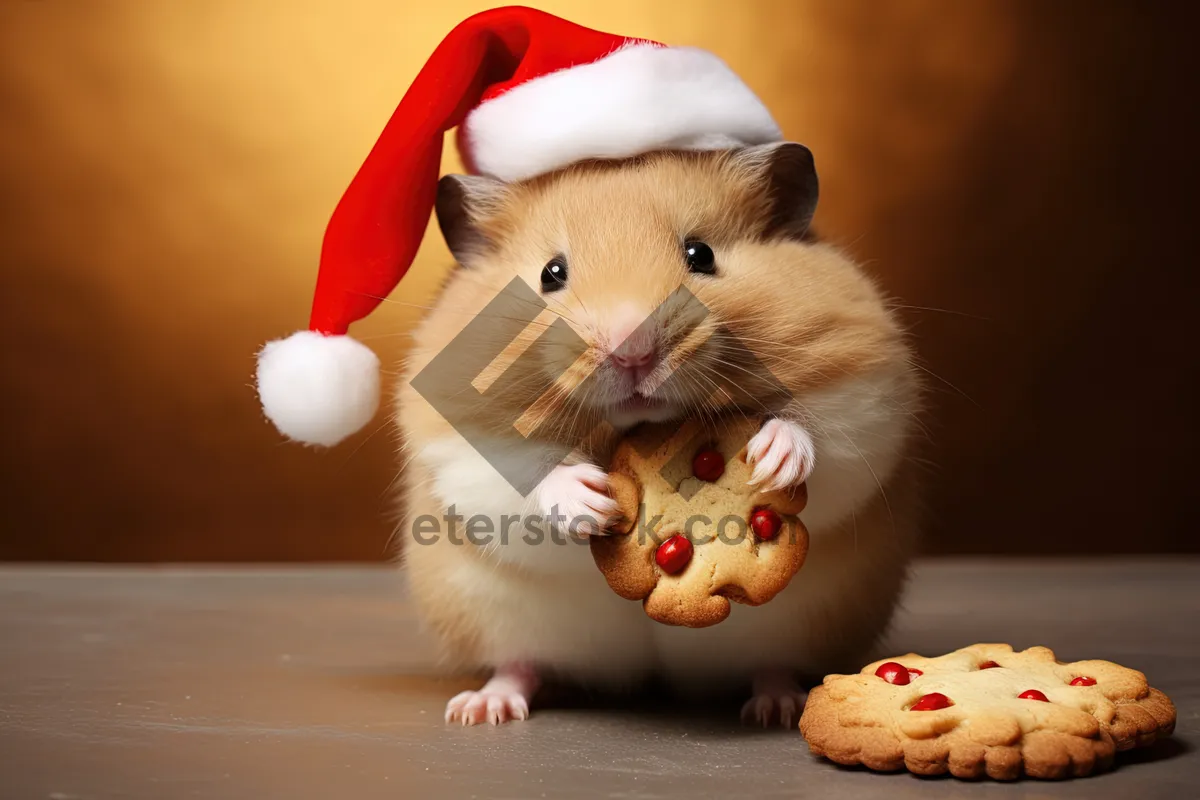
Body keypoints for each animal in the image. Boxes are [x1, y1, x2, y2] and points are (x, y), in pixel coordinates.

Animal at [393, 142, 916, 724]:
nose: (632, 350)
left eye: (700, 254)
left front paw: (772, 457)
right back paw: (482, 709)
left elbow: (819, 432)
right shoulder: (456, 444)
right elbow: (520, 473)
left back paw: (779, 707)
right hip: (493, 619)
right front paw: (591, 500)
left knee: (772, 665)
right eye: (552, 273)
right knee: (519, 664)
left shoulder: (868, 399)